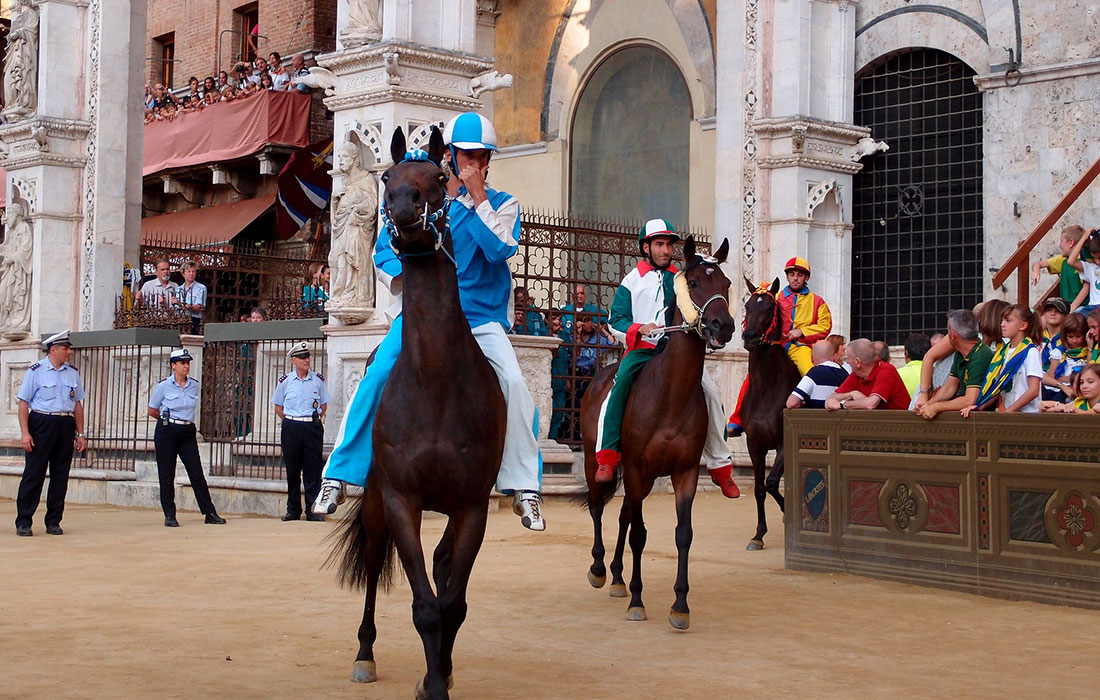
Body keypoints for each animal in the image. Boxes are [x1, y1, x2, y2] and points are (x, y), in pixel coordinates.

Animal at [576, 237, 739, 629]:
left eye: (725, 283)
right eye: (693, 282)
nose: (722, 325)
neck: (671, 396)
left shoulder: (684, 472)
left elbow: (683, 535)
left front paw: (680, 605)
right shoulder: (635, 468)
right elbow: (639, 534)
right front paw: (638, 600)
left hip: (647, 479)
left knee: (623, 514)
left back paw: (618, 578)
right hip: (595, 460)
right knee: (598, 507)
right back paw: (600, 569)